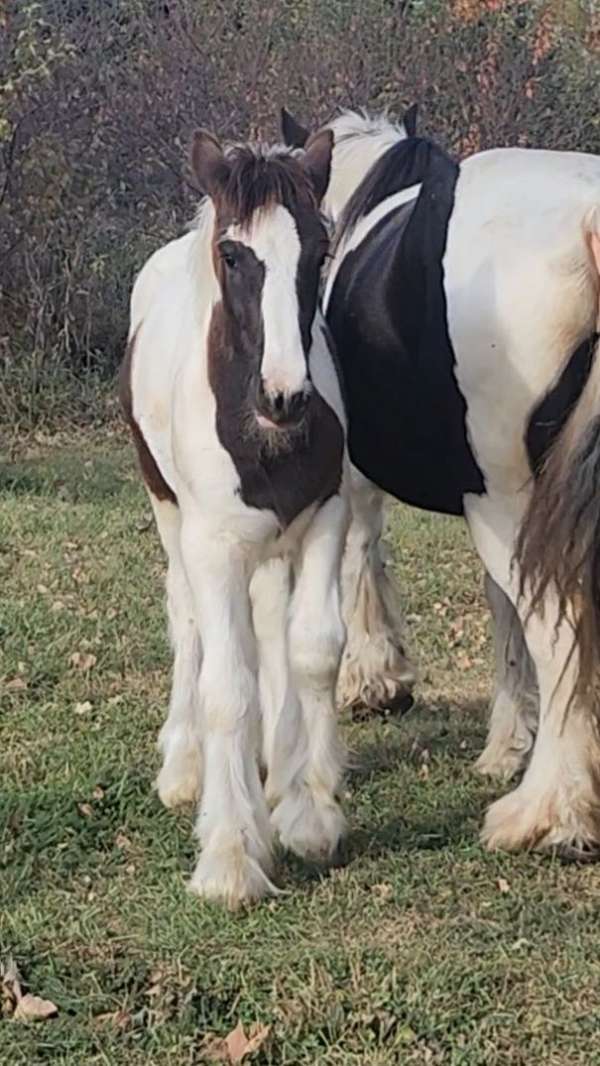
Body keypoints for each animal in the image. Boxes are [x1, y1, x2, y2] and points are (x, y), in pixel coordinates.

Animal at [120, 128, 351, 903]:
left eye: (320, 251)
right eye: (231, 254)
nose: (285, 397)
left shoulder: (325, 518)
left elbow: (312, 651)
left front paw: (307, 814)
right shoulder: (211, 545)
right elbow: (227, 687)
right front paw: (230, 856)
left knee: (271, 626)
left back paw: (276, 769)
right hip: (170, 517)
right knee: (188, 621)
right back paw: (187, 769)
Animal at [283, 108, 600, 857]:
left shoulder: (361, 483)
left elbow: (361, 557)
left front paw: (376, 678)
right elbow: (501, 608)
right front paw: (507, 744)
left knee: (563, 629)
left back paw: (550, 813)